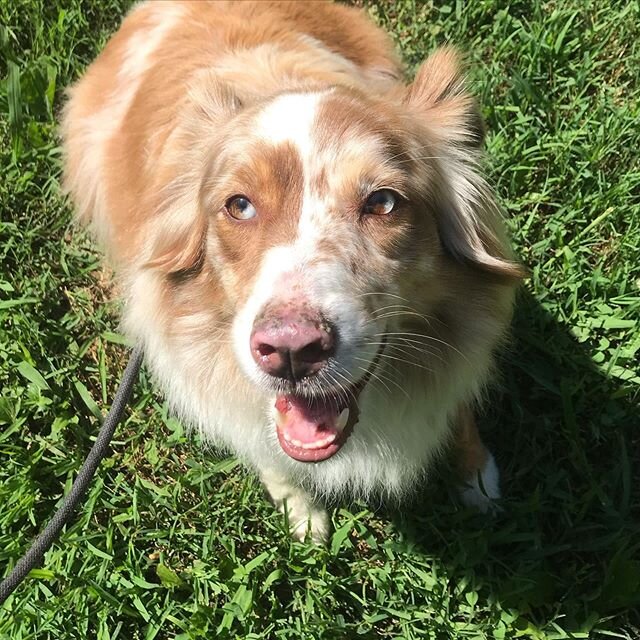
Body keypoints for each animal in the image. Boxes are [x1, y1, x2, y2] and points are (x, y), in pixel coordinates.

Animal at [60, 0, 524, 544]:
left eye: (384, 202)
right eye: (239, 206)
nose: (290, 351)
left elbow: (460, 410)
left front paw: (478, 479)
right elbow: (269, 452)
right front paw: (300, 513)